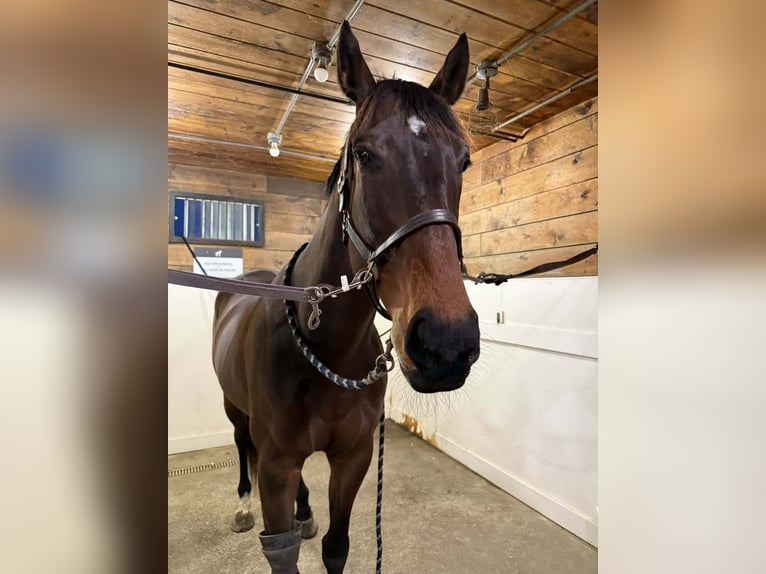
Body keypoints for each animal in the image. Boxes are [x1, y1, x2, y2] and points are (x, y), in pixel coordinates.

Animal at [211, 21, 480, 574]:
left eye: (463, 160)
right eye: (364, 154)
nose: (445, 343)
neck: (326, 349)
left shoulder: (352, 458)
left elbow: (337, 546)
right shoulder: (275, 469)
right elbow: (282, 549)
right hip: (234, 409)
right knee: (242, 446)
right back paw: (242, 504)